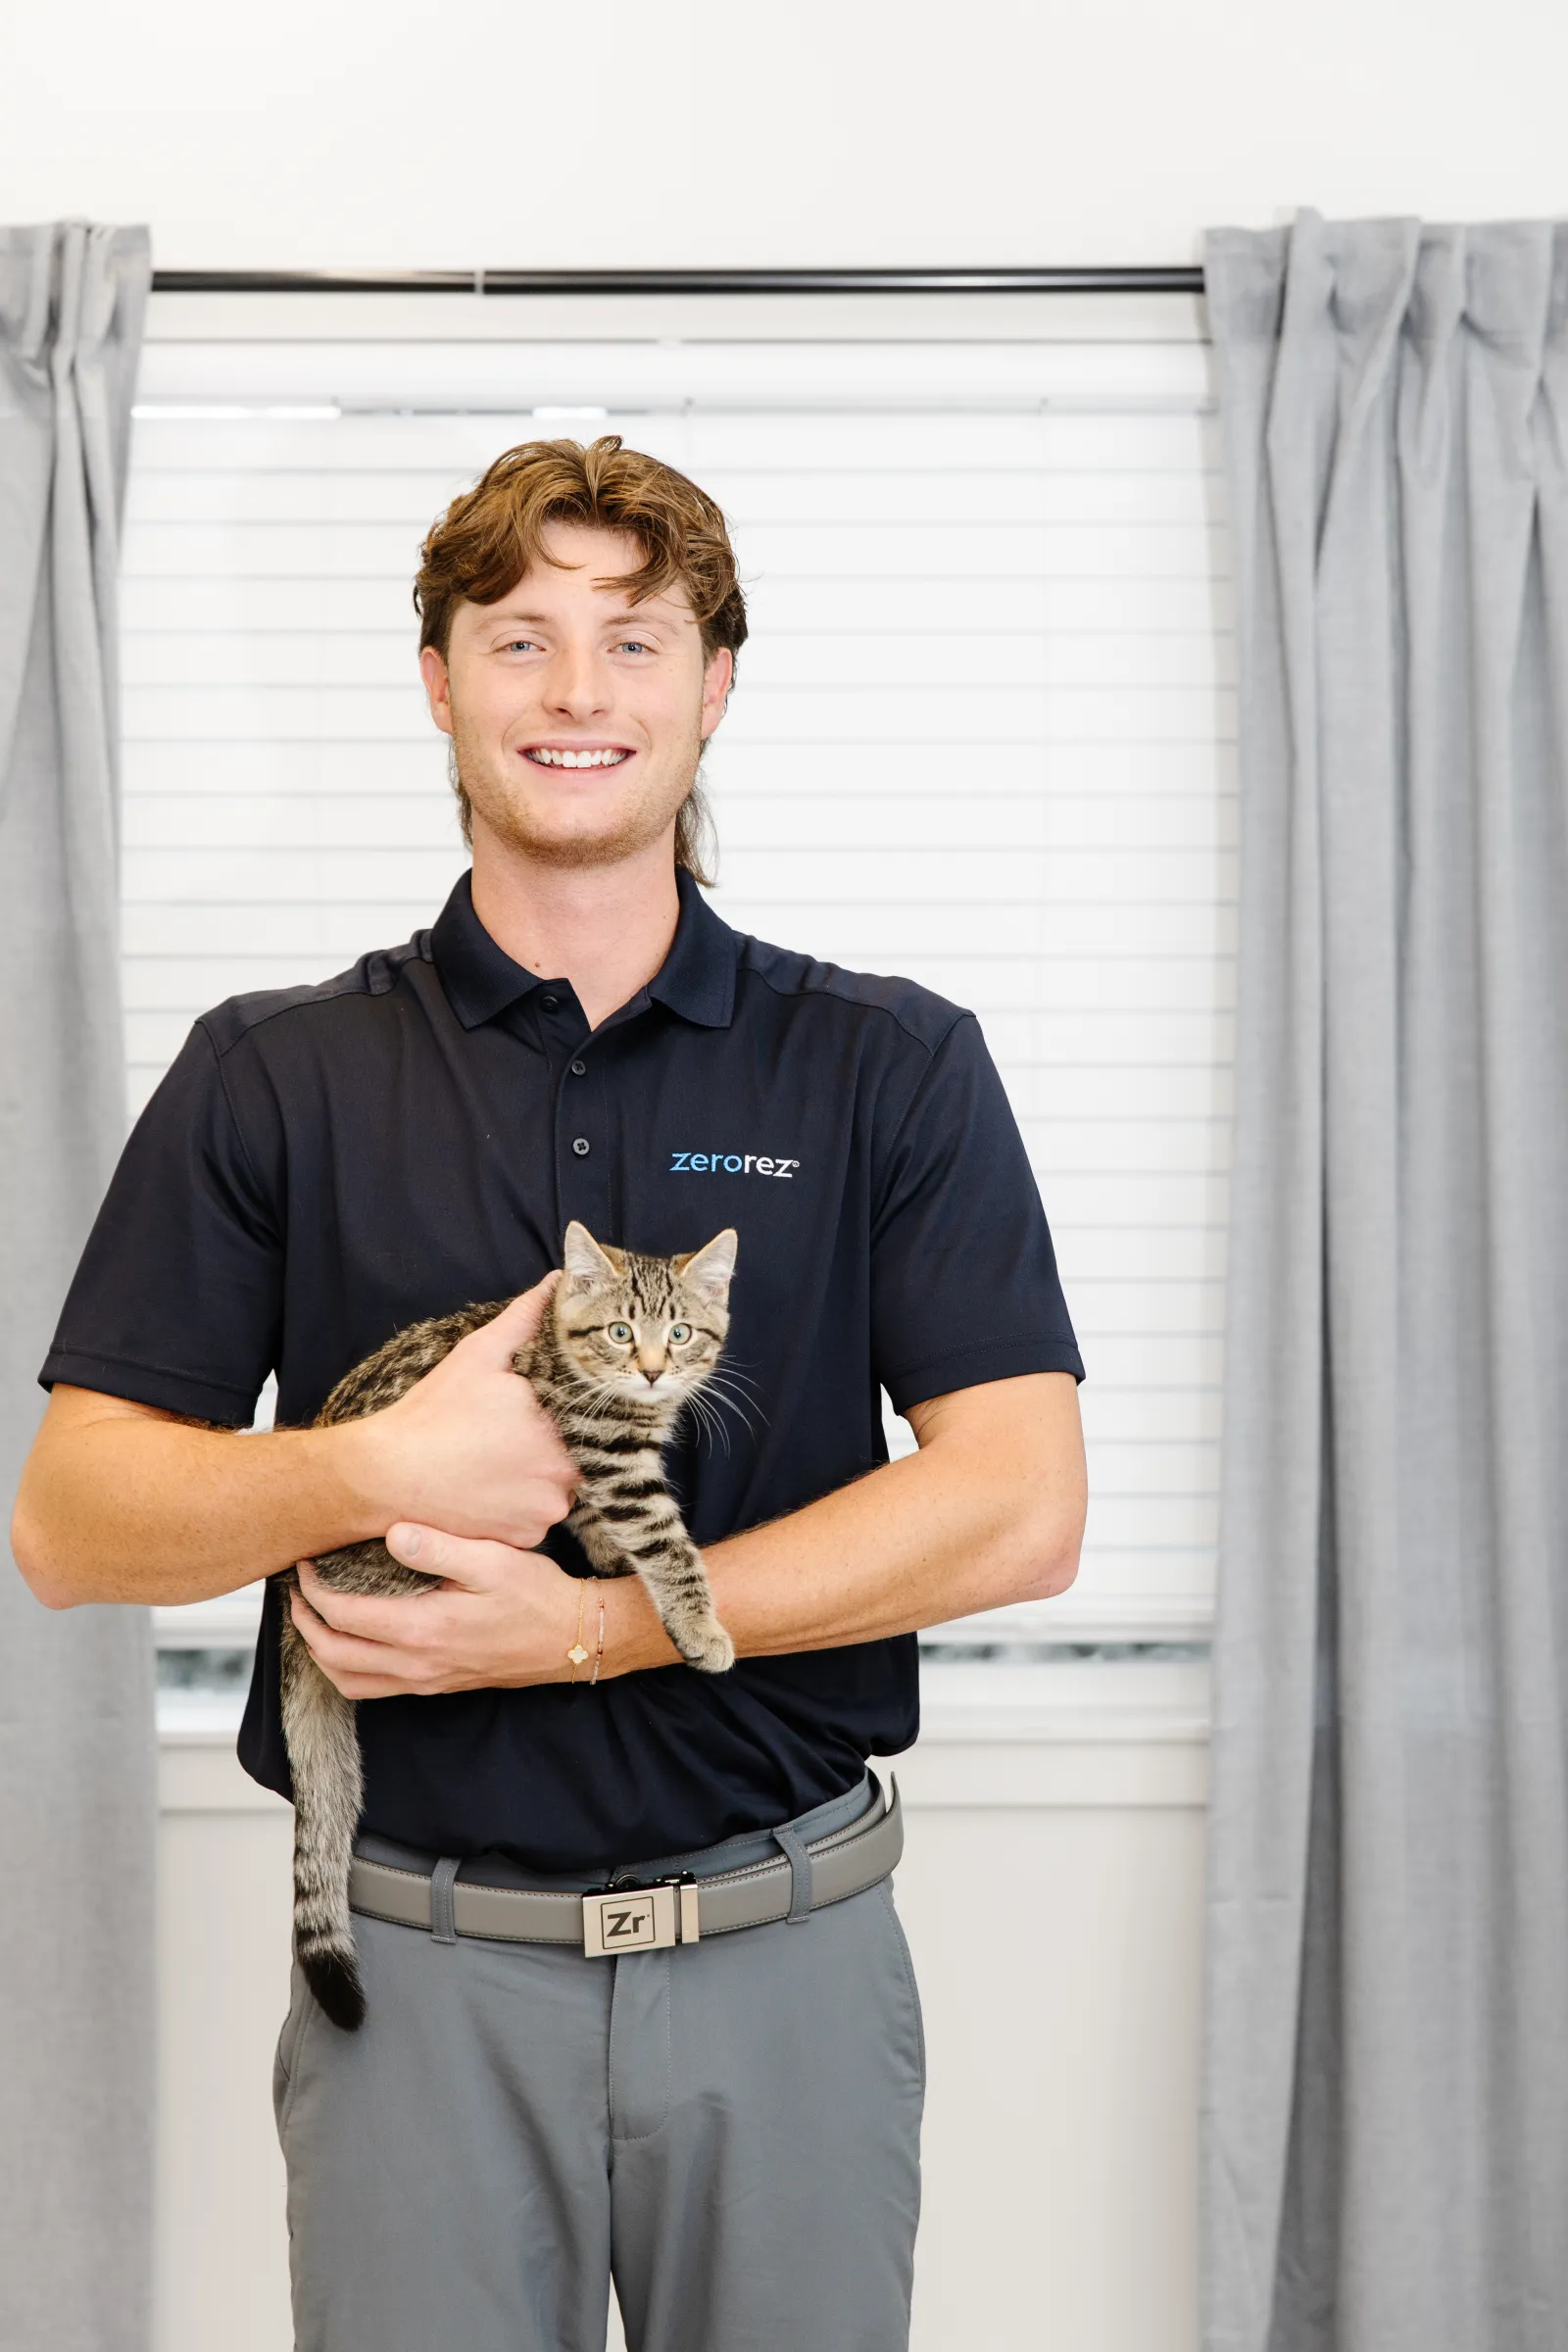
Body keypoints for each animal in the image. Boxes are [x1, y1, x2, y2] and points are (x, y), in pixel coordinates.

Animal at [278, 1223, 738, 2032]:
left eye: (680, 1333)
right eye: (621, 1333)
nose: (653, 1373)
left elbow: (596, 1518)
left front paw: (609, 1557)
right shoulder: (608, 1454)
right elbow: (665, 1542)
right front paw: (698, 1624)